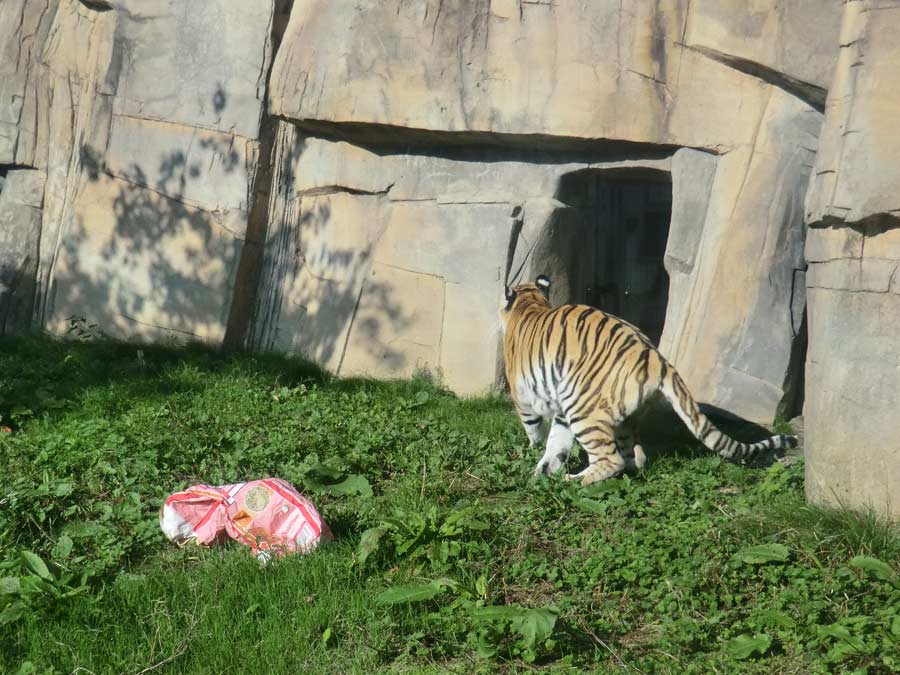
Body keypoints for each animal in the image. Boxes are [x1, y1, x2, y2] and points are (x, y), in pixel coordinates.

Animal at [500, 274, 800, 486]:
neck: (530, 302)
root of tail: (657, 360)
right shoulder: (562, 408)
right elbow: (557, 443)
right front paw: (544, 470)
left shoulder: (524, 397)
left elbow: (536, 431)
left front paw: (537, 458)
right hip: (617, 414)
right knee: (635, 457)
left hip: (583, 408)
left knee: (612, 460)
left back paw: (574, 481)